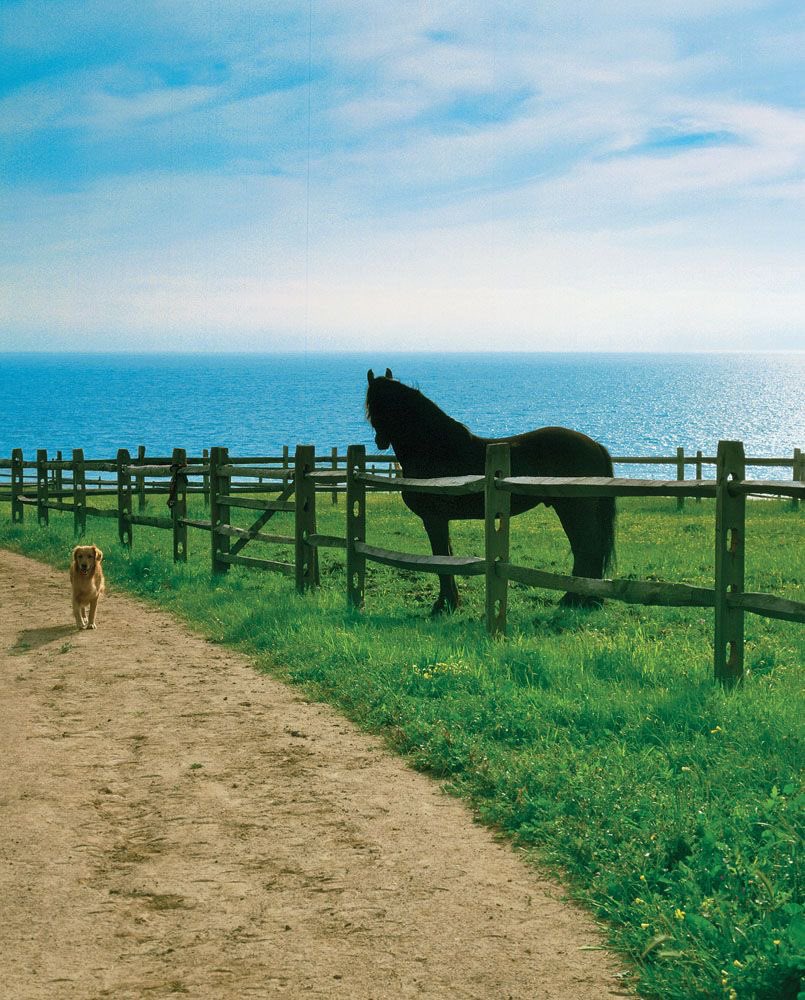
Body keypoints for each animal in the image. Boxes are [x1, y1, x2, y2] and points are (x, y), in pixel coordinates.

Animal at [364, 370, 616, 612]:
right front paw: (452, 602)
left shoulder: (433, 519)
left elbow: (441, 558)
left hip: (574, 510)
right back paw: (587, 600)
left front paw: (444, 604)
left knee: (587, 548)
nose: (379, 441)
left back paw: (578, 599)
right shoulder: (440, 520)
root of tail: (595, 445)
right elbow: (447, 556)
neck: (437, 449)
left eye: (377, 404)